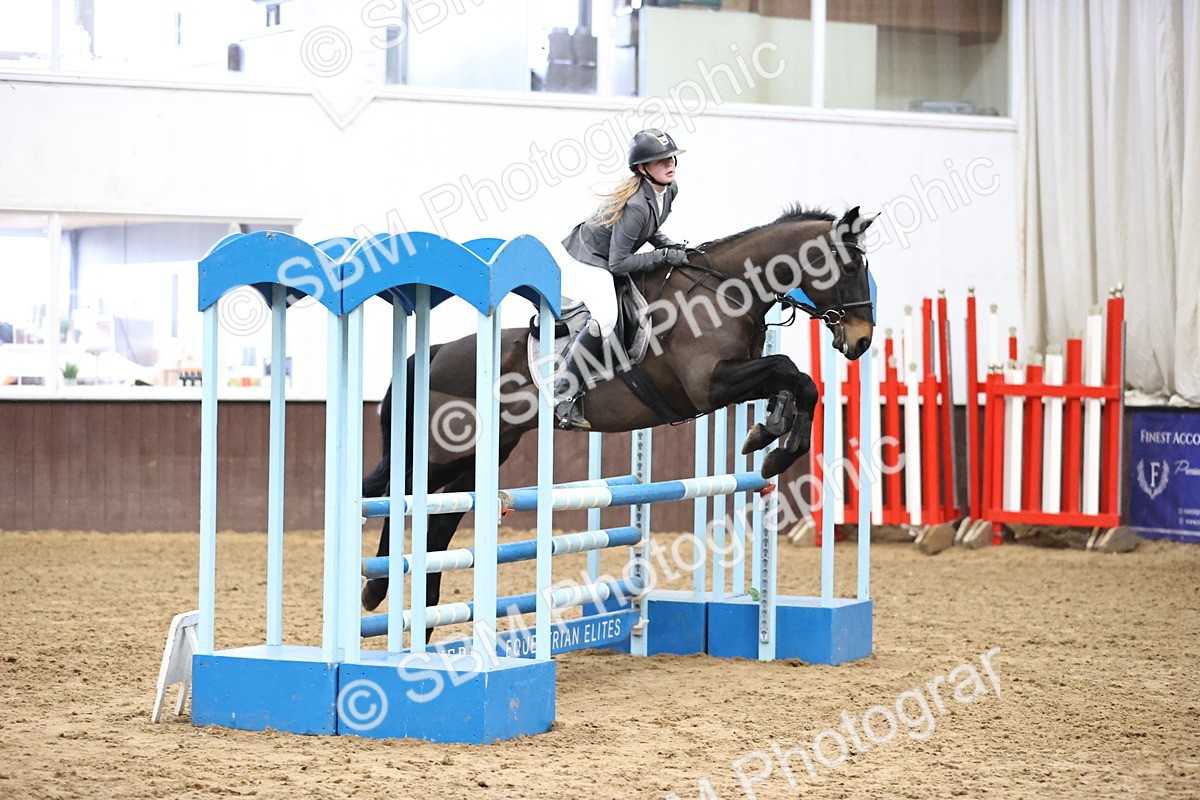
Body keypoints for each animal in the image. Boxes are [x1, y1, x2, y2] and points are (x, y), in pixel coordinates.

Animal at [360, 205, 876, 612]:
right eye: (851, 265)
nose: (861, 341)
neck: (725, 290)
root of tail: (436, 352)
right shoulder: (709, 384)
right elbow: (792, 372)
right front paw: (774, 446)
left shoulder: (738, 376)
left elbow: (797, 381)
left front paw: (769, 439)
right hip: (445, 449)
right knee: (398, 491)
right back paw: (375, 587)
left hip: (484, 454)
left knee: (438, 523)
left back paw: (422, 614)